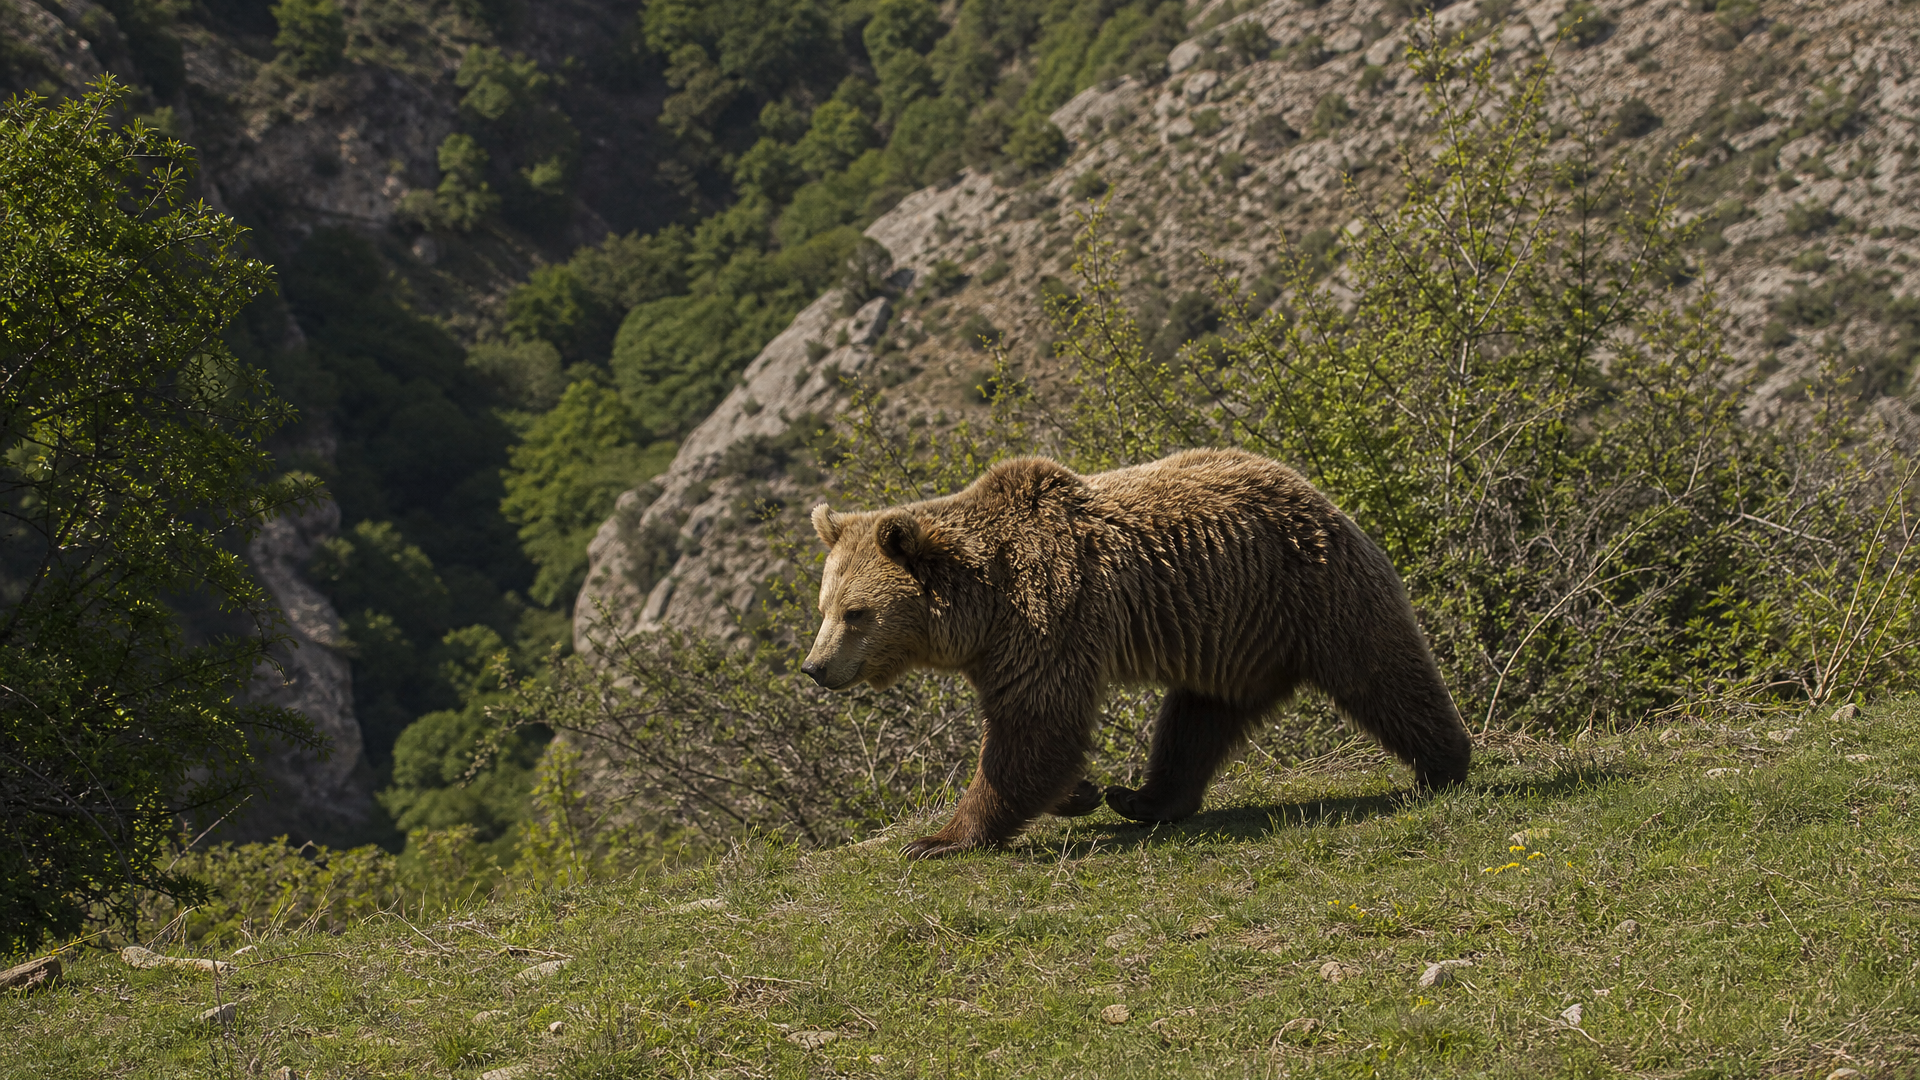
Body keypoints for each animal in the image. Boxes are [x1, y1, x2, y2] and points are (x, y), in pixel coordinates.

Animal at [801, 447, 1470, 858]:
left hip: (1310, 590)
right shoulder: (1003, 646)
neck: (982, 606)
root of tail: (1312, 490)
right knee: (1197, 720)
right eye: (824, 606)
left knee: (1381, 672)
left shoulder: (1047, 615)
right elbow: (1036, 736)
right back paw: (1145, 799)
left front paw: (940, 839)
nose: (815, 667)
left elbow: (1036, 724)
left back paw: (1443, 765)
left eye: (856, 613)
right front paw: (1081, 792)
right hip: (1233, 637)